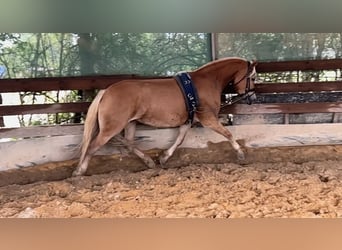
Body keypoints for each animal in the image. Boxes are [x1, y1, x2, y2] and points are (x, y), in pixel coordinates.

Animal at [73, 57, 256, 177]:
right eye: (253, 77)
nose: (252, 98)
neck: (206, 82)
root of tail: (106, 92)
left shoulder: (188, 121)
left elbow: (179, 139)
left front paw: (164, 157)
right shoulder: (208, 119)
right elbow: (228, 134)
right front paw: (240, 154)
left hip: (129, 123)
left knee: (128, 143)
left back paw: (149, 162)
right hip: (112, 127)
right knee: (92, 146)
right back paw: (79, 171)